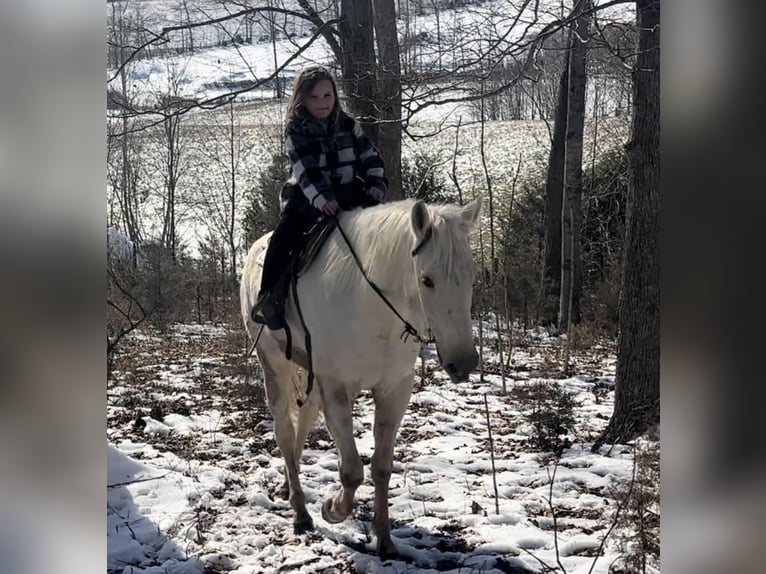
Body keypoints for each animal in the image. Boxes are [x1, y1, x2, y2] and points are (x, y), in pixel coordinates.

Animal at [242, 200, 480, 560]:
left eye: (471, 275)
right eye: (426, 280)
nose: (464, 363)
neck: (370, 302)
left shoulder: (394, 390)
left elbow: (381, 467)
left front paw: (385, 541)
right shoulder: (336, 388)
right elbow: (352, 470)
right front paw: (332, 509)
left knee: (301, 425)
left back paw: (288, 484)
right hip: (275, 366)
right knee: (283, 430)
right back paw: (300, 512)